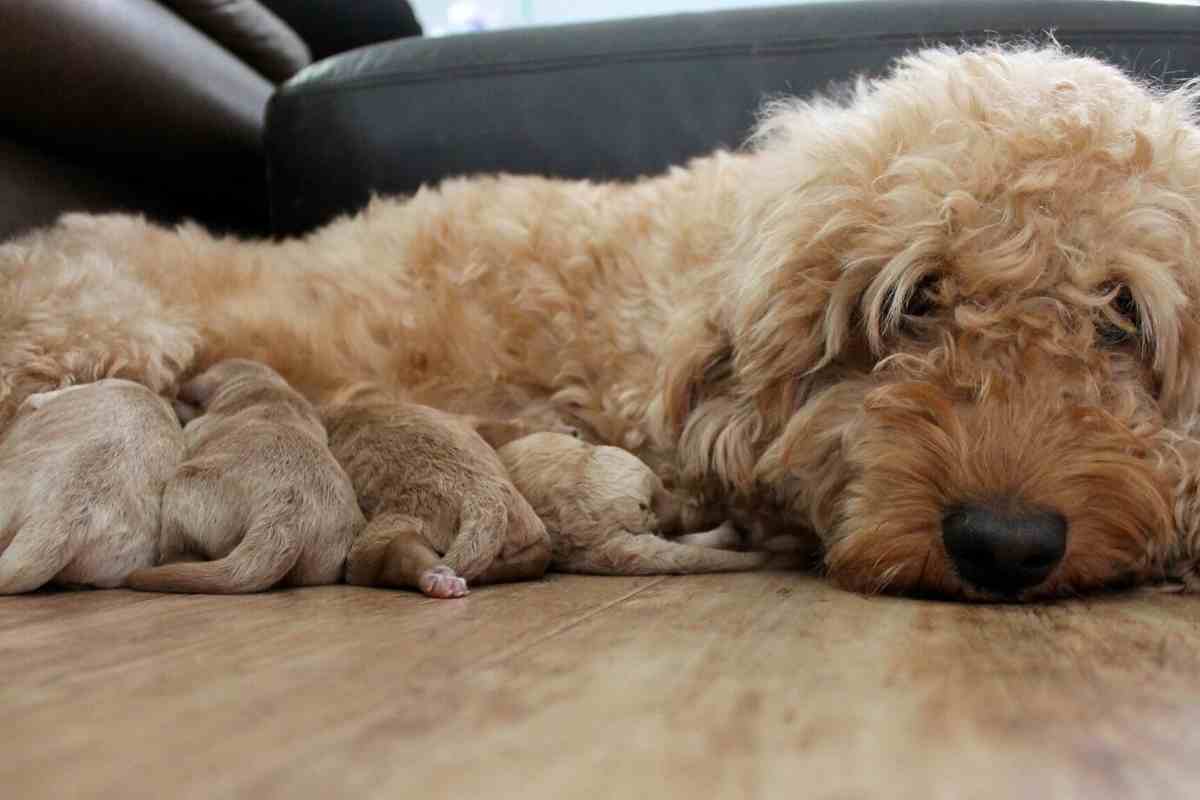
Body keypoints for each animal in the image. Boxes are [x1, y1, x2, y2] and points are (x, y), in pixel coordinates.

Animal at [326, 398, 554, 597]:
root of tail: (481, 496)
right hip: (530, 532)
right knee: (536, 557)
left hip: (382, 535)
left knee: (387, 553)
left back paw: (438, 578)